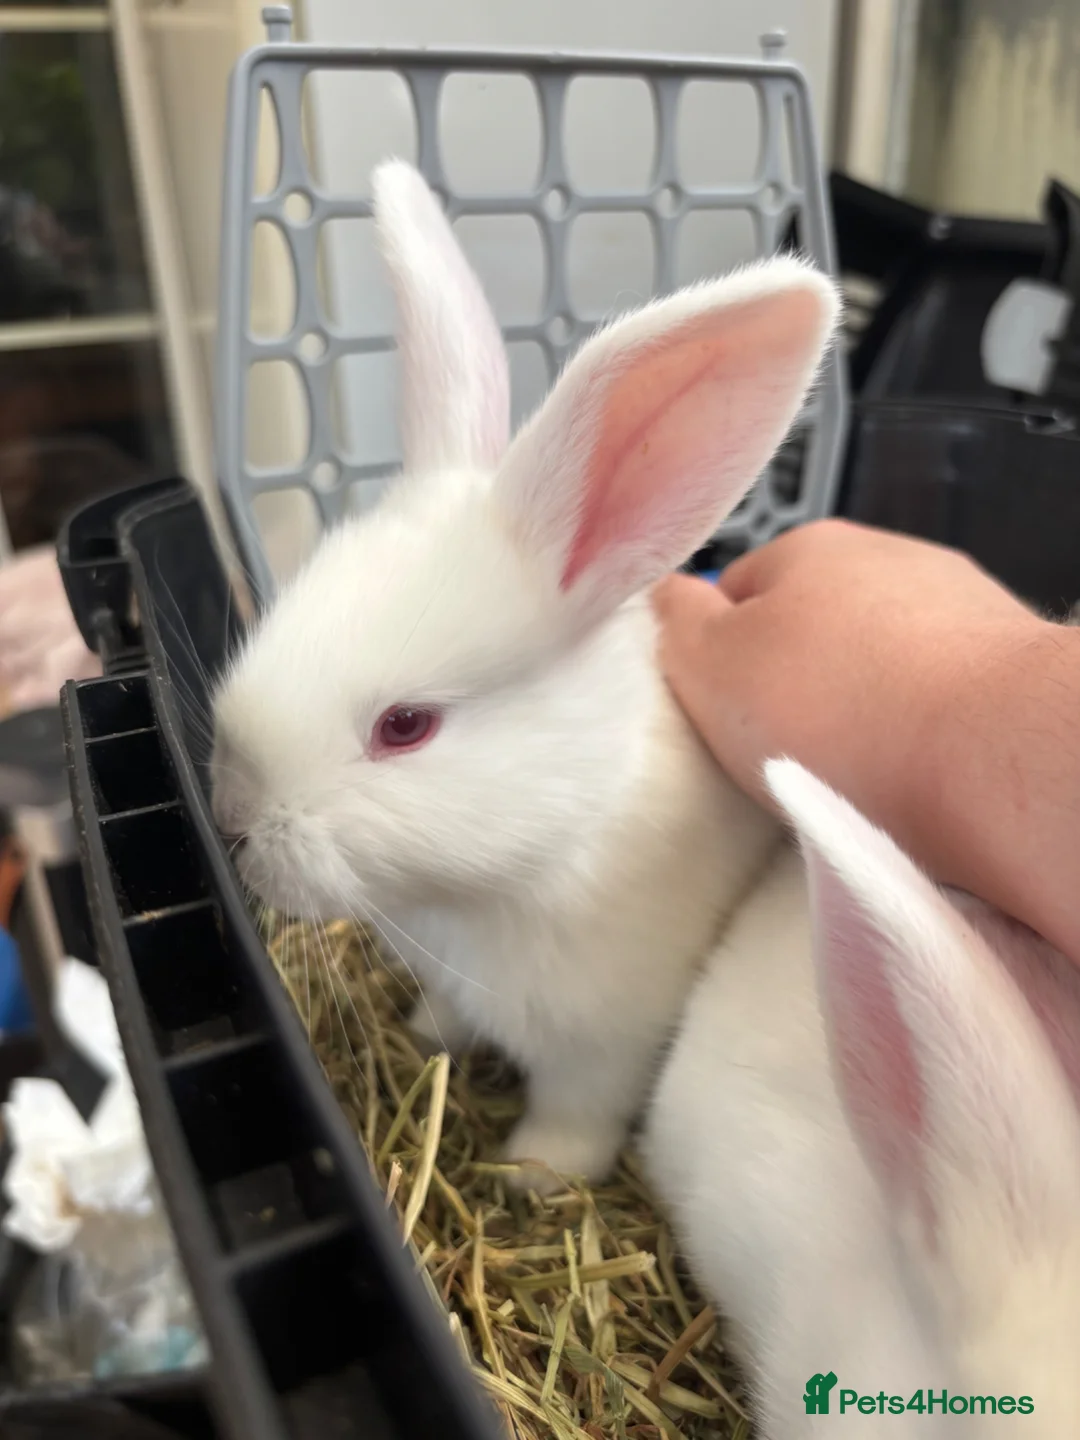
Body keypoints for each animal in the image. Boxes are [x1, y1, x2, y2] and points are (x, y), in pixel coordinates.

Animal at [209, 158, 839, 1193]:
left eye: (406, 726)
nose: (231, 822)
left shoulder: (605, 1041)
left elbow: (577, 1113)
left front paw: (534, 1175)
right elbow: (449, 1018)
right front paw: (426, 1034)